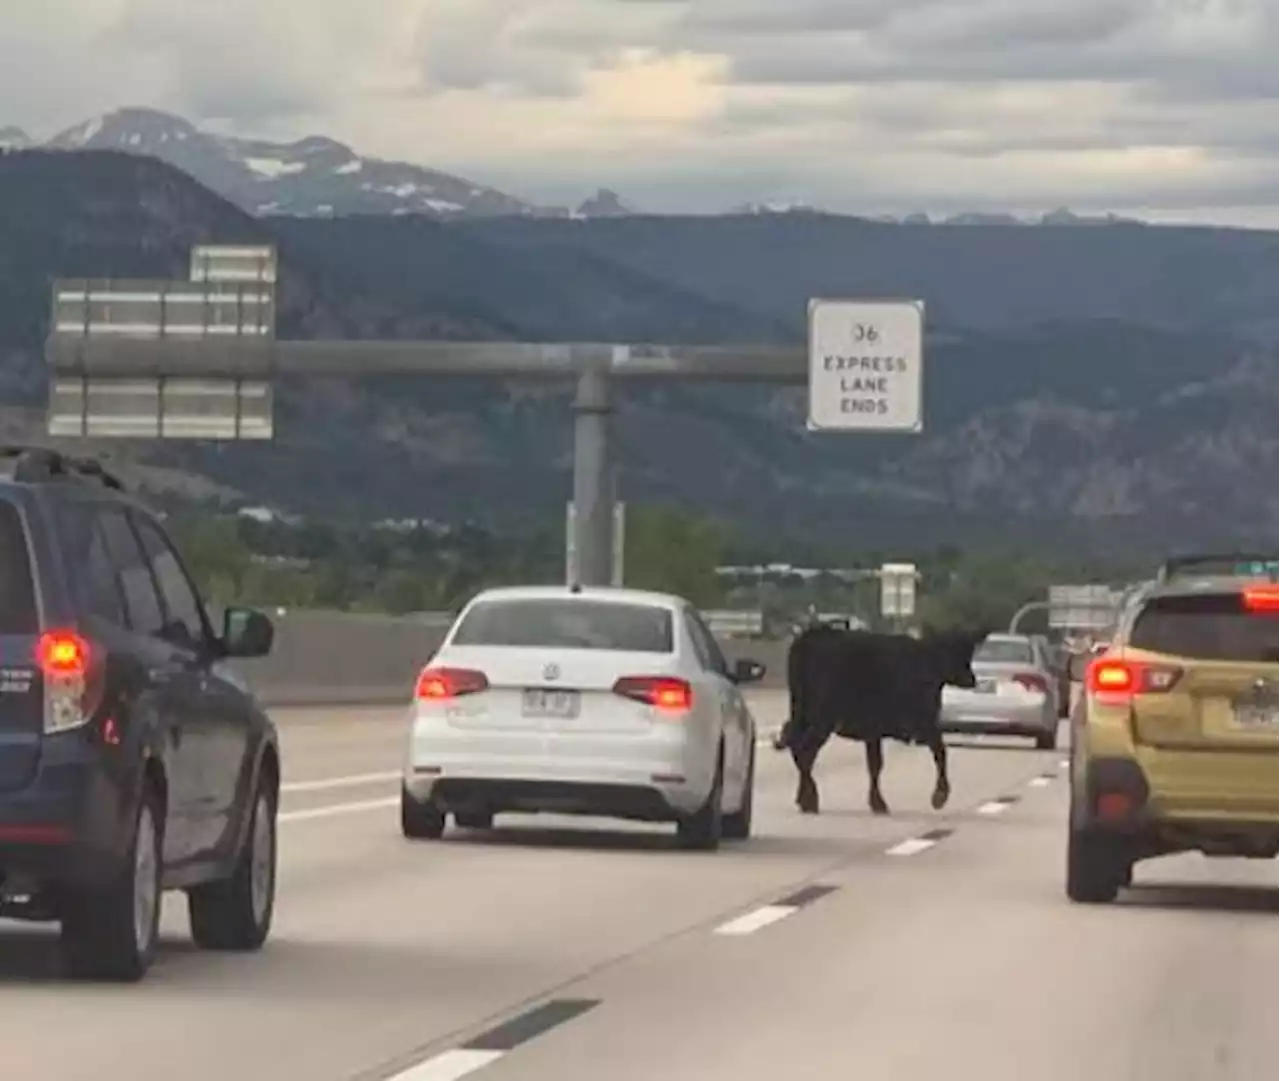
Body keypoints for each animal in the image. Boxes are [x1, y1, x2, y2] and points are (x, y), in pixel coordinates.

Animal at [768, 629, 988, 813]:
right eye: (958, 654)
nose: (972, 679)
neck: (927, 664)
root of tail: (810, 637)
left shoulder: (873, 731)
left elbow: (874, 765)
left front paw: (876, 802)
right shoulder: (924, 723)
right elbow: (940, 752)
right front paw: (939, 796)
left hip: (802, 714)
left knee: (797, 746)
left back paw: (803, 799)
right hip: (822, 718)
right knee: (805, 751)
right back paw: (810, 800)